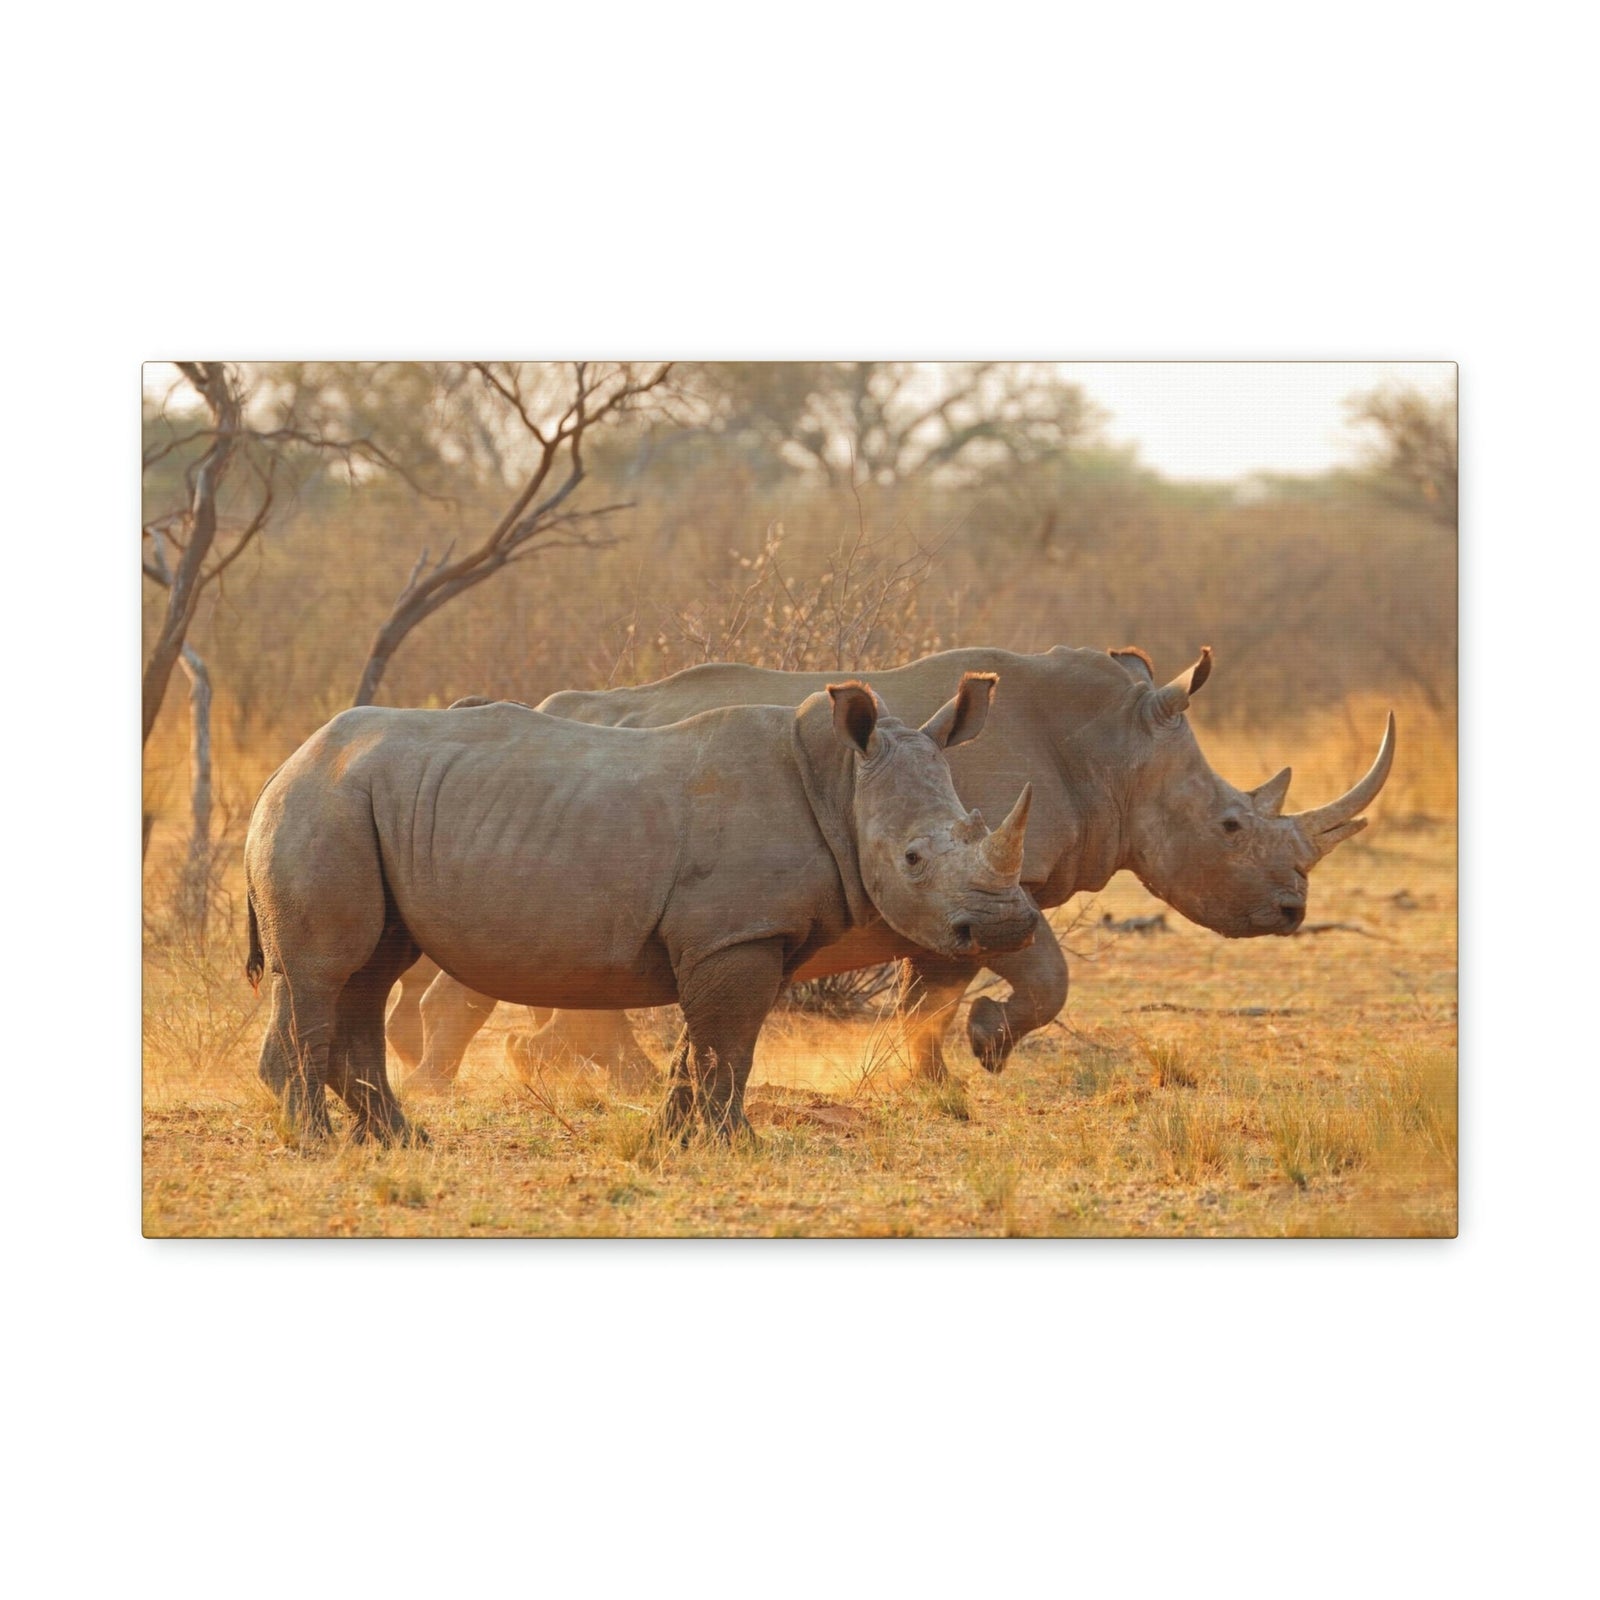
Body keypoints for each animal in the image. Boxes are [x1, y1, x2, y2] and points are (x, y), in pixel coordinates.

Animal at [244, 673, 1038, 1145]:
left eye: (974, 825)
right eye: (912, 859)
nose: (1008, 925)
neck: (840, 782)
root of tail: (287, 762)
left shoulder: (747, 936)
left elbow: (708, 1045)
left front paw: (676, 1140)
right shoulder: (735, 935)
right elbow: (728, 1043)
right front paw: (735, 1146)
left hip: (356, 805)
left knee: (370, 971)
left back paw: (400, 1140)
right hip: (324, 805)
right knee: (323, 972)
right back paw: (317, 1143)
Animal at [392, 645, 1394, 1089]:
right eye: (1231, 824)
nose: (1294, 909)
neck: (1113, 748)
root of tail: (538, 700)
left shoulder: (964, 887)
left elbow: (931, 991)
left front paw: (927, 1076)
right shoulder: (996, 882)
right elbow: (1033, 976)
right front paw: (983, 1051)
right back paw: (450, 1084)